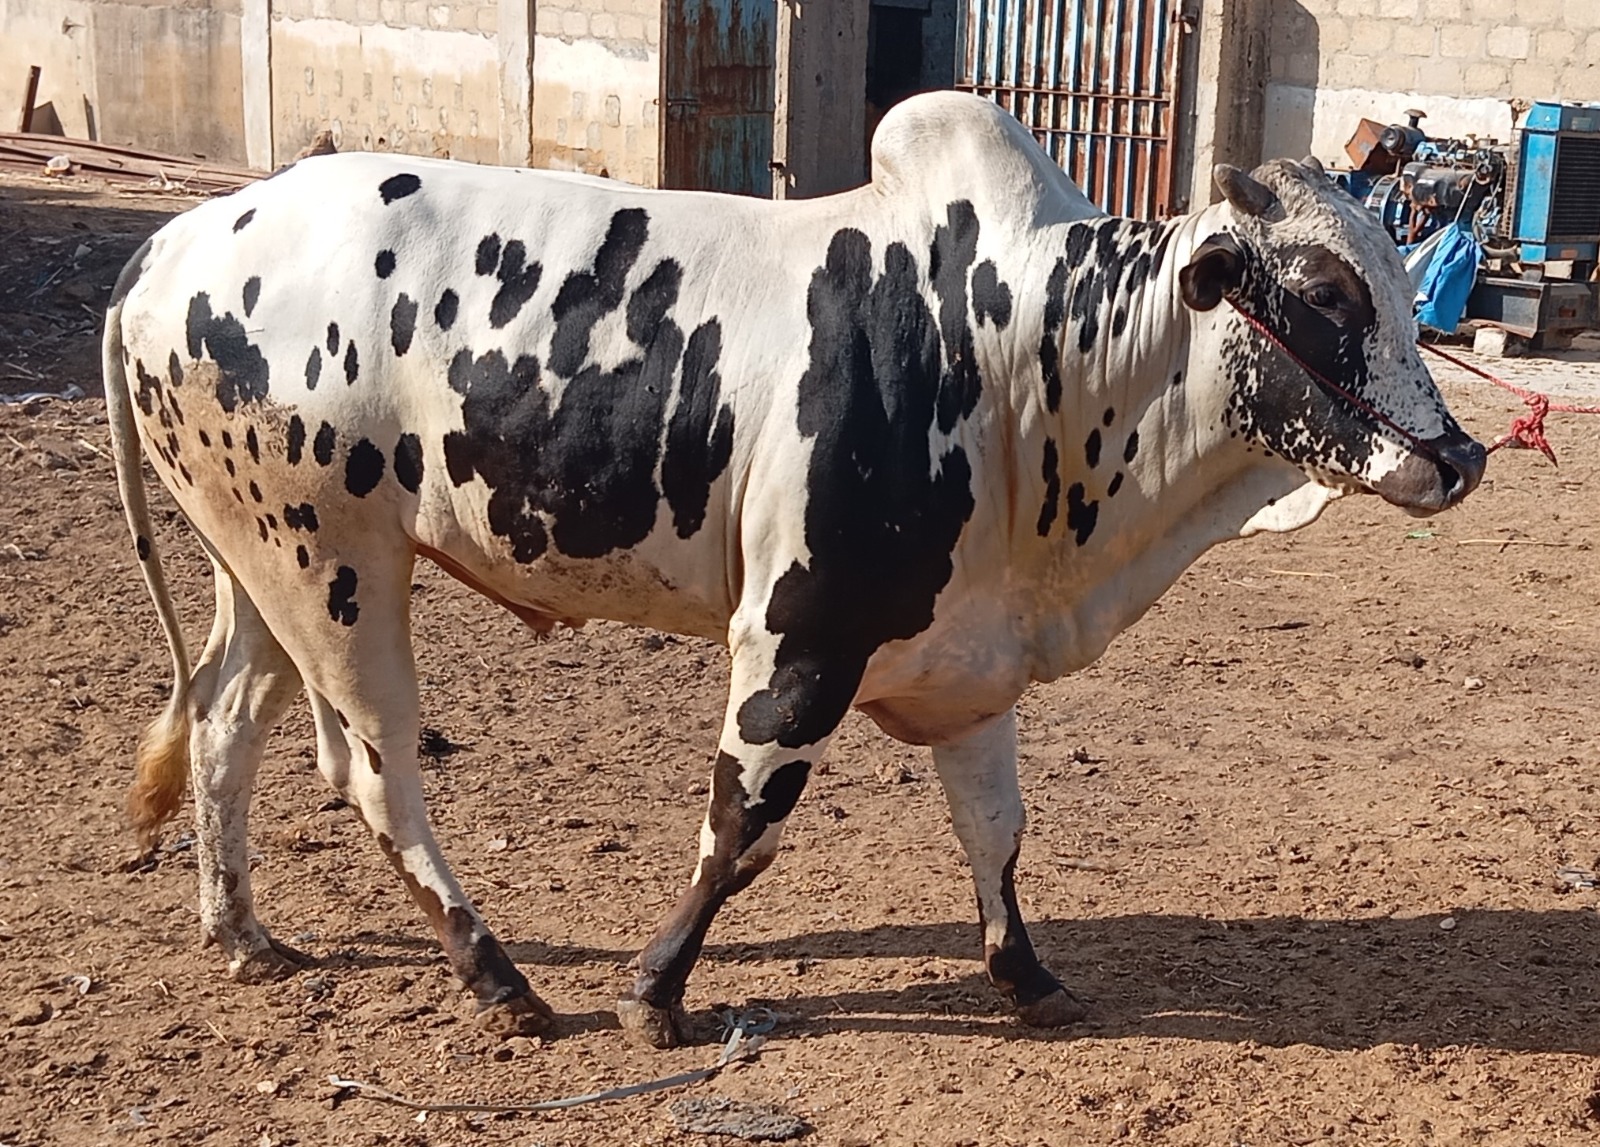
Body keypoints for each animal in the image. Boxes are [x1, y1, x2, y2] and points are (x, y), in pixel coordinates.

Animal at [103, 91, 1484, 1048]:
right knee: (377, 771)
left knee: (223, 723)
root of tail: (177, 240)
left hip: (257, 565)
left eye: (1401, 282)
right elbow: (743, 824)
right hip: (331, 568)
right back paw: (499, 977)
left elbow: (997, 832)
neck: (1026, 350)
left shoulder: (970, 660)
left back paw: (243, 931)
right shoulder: (797, 640)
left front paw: (1028, 975)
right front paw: (654, 993)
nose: (1461, 454)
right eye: (1322, 289)